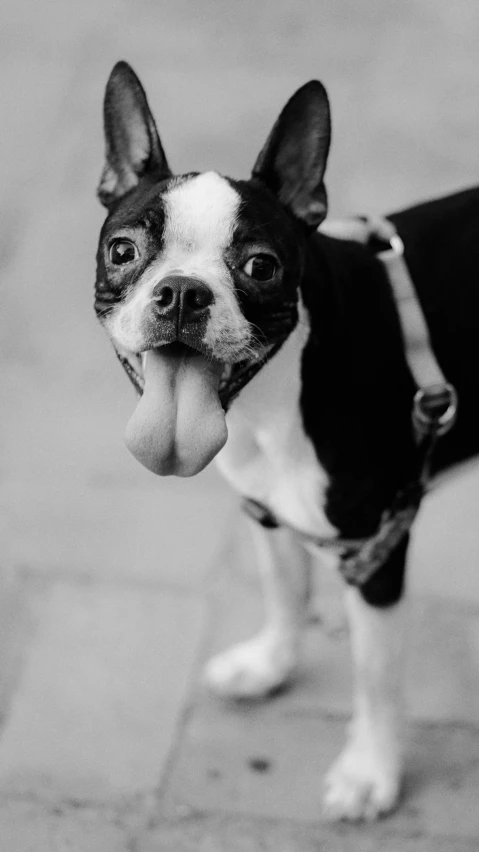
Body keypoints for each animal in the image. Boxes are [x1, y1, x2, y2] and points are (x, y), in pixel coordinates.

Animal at [95, 60, 479, 820]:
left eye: (260, 266)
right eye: (123, 252)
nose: (181, 292)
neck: (272, 403)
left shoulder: (376, 546)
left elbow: (375, 676)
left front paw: (369, 771)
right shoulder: (265, 509)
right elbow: (284, 589)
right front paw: (268, 666)